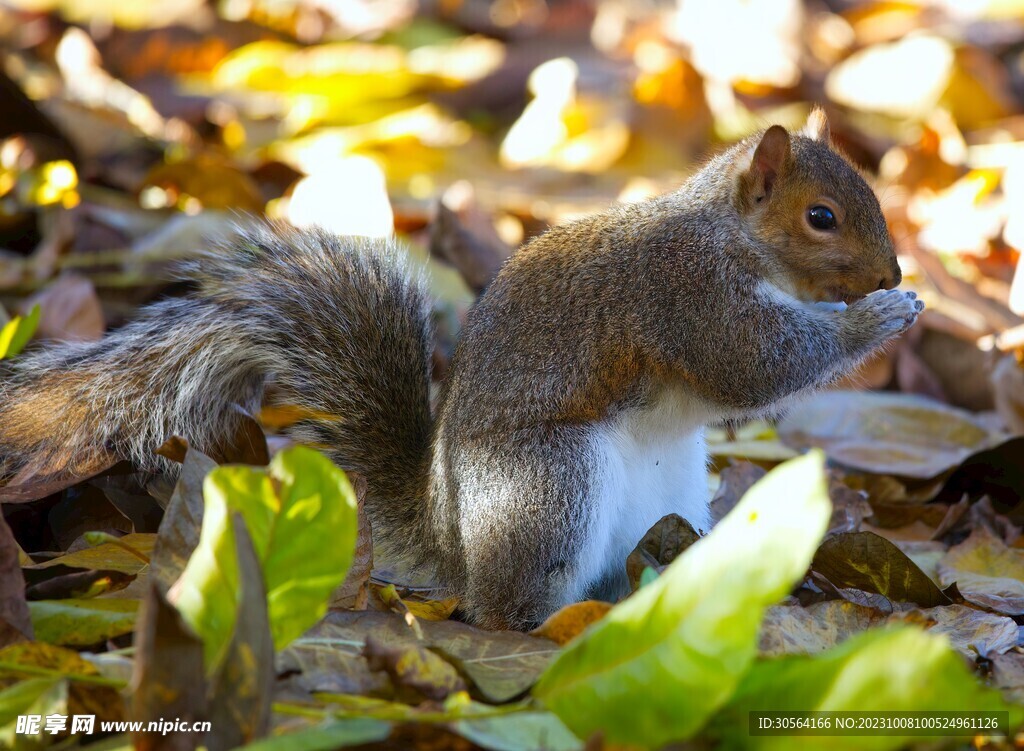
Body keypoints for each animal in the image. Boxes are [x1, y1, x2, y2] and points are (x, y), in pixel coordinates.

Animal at [0, 109, 921, 627]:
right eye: (822, 217)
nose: (895, 272)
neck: (729, 234)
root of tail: (453, 544)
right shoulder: (686, 294)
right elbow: (753, 362)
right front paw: (876, 319)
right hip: (549, 483)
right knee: (501, 606)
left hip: (669, 490)